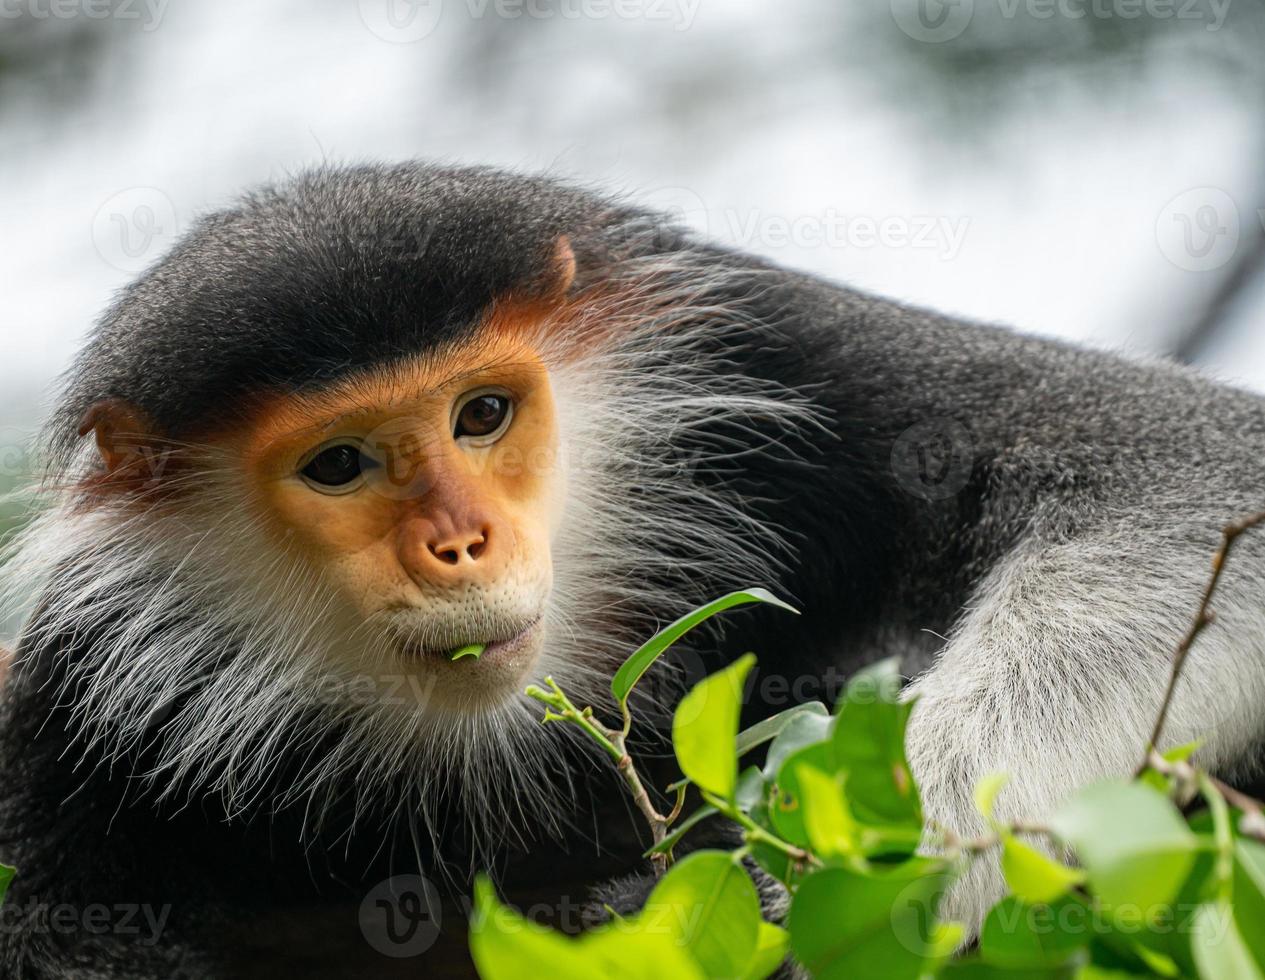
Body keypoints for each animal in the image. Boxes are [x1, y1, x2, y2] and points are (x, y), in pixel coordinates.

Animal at [2, 164, 1265, 976]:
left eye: (480, 413)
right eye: (340, 464)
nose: (459, 544)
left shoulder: (768, 340)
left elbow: (1181, 467)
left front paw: (875, 863)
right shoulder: (71, 694)